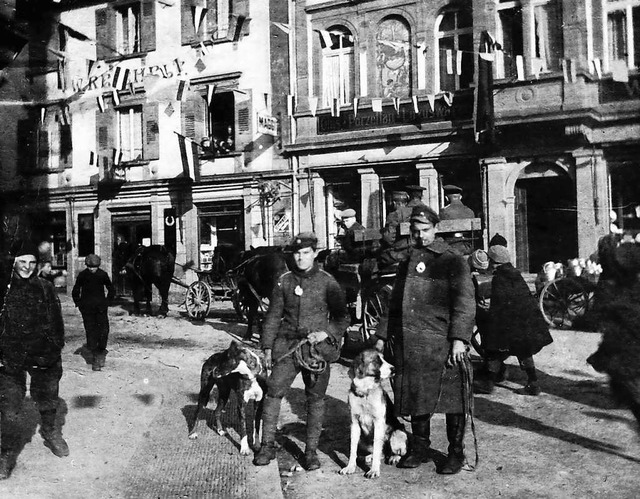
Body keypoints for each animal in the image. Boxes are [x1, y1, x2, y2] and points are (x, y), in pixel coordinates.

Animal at [340, 350, 404, 478]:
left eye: (384, 359)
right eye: (376, 361)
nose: (394, 369)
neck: (365, 392)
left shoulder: (378, 422)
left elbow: (377, 446)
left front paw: (374, 470)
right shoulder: (354, 424)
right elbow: (353, 449)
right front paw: (350, 467)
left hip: (398, 432)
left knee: (396, 451)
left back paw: (394, 457)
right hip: (362, 439)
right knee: (381, 452)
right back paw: (369, 457)